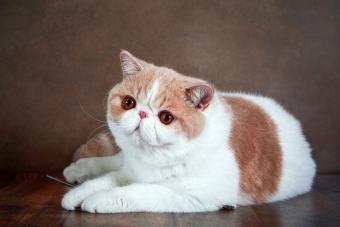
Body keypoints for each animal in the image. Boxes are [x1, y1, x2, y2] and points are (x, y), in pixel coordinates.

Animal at [61, 50, 316, 214]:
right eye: (128, 103)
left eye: (166, 117)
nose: (142, 114)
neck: (152, 160)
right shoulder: (130, 170)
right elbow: (108, 178)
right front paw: (81, 192)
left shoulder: (191, 195)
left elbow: (137, 191)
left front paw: (98, 198)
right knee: (113, 160)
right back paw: (79, 169)